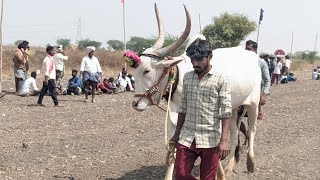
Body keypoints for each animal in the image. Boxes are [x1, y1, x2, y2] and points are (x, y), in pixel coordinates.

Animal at [131, 3, 262, 179]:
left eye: (146, 71)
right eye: (135, 70)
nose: (135, 103)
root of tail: (252, 55)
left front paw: (219, 173)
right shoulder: (176, 116)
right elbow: (174, 147)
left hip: (253, 104)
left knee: (252, 130)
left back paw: (250, 162)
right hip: (234, 107)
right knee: (234, 134)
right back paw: (229, 166)